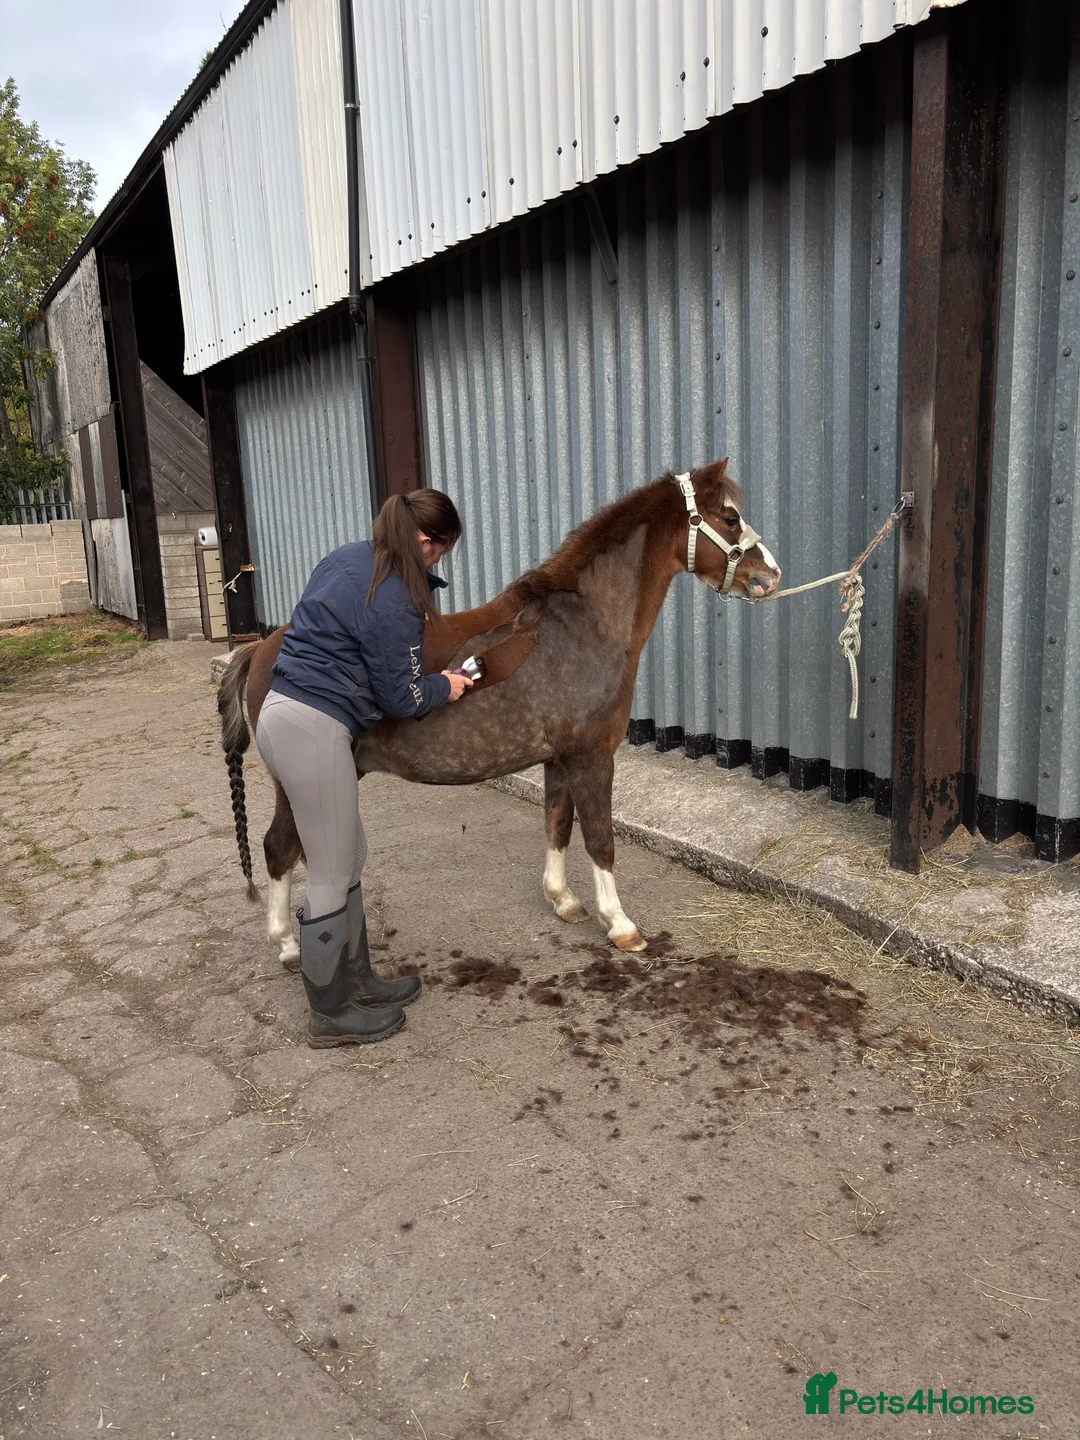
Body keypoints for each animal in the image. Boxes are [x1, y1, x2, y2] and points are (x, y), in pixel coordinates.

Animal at [218, 460, 781, 963]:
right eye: (730, 517)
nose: (769, 576)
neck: (581, 626)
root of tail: (261, 649)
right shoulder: (592, 756)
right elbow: (600, 839)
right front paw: (621, 926)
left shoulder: (558, 759)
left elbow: (558, 825)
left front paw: (563, 900)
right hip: (301, 782)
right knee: (279, 849)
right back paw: (288, 946)